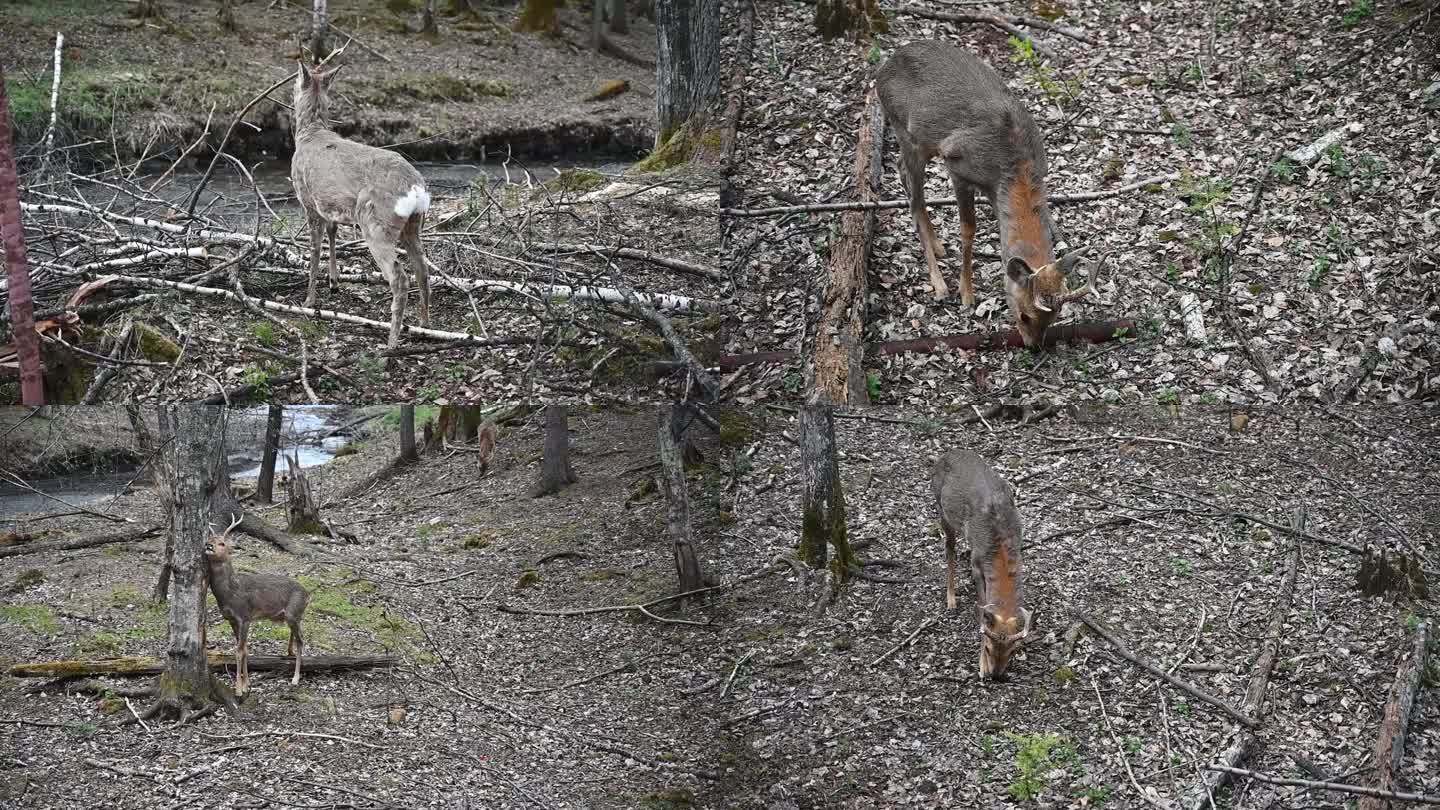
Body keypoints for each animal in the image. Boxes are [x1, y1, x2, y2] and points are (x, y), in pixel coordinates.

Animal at [204, 510, 311, 694]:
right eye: (209, 539)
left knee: (302, 640)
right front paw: (247, 684)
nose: (208, 546)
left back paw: (295, 678)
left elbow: (239, 651)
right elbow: (245, 649)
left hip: (293, 611)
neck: (230, 592)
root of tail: (308, 595)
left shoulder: (245, 616)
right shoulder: (231, 619)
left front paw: (238, 689)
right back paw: (289, 653)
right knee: (296, 636)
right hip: (292, 616)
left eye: (222, 543)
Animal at [289, 61, 429, 351]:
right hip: (414, 224)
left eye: (295, 81)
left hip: (376, 223)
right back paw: (424, 324)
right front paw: (333, 282)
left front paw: (309, 301)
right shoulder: (328, 205)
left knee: (400, 277)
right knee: (422, 269)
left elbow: (314, 250)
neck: (310, 134)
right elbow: (332, 234)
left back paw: (391, 342)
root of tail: (415, 188)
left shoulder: (308, 201)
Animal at [875, 41, 1088, 343]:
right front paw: (966, 294)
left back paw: (939, 247)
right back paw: (939, 285)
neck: (1010, 168)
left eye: (1053, 318)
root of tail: (884, 67)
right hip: (905, 130)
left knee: (903, 174)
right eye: (1025, 315)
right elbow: (968, 228)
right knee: (913, 194)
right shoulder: (957, 165)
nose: (1033, 346)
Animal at [933, 443, 1036, 677]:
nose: (997, 676)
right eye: (989, 647)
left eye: (1013, 650)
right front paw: (981, 666)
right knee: (949, 548)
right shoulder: (977, 564)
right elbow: (981, 608)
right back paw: (951, 600)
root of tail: (946, 454)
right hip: (941, 508)